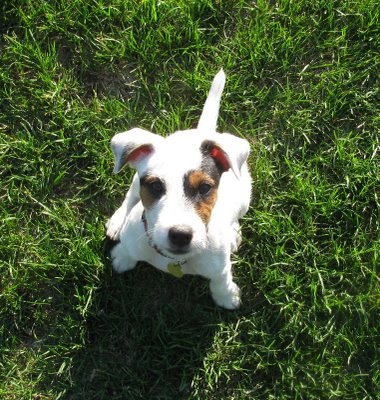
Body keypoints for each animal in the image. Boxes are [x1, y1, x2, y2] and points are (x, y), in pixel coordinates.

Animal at [105, 69, 251, 310]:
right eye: (156, 186)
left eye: (204, 187)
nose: (180, 235)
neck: (174, 260)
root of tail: (202, 133)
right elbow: (128, 248)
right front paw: (123, 256)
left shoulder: (219, 266)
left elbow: (221, 279)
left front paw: (226, 296)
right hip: (134, 182)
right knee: (129, 197)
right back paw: (117, 221)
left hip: (245, 194)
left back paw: (233, 232)